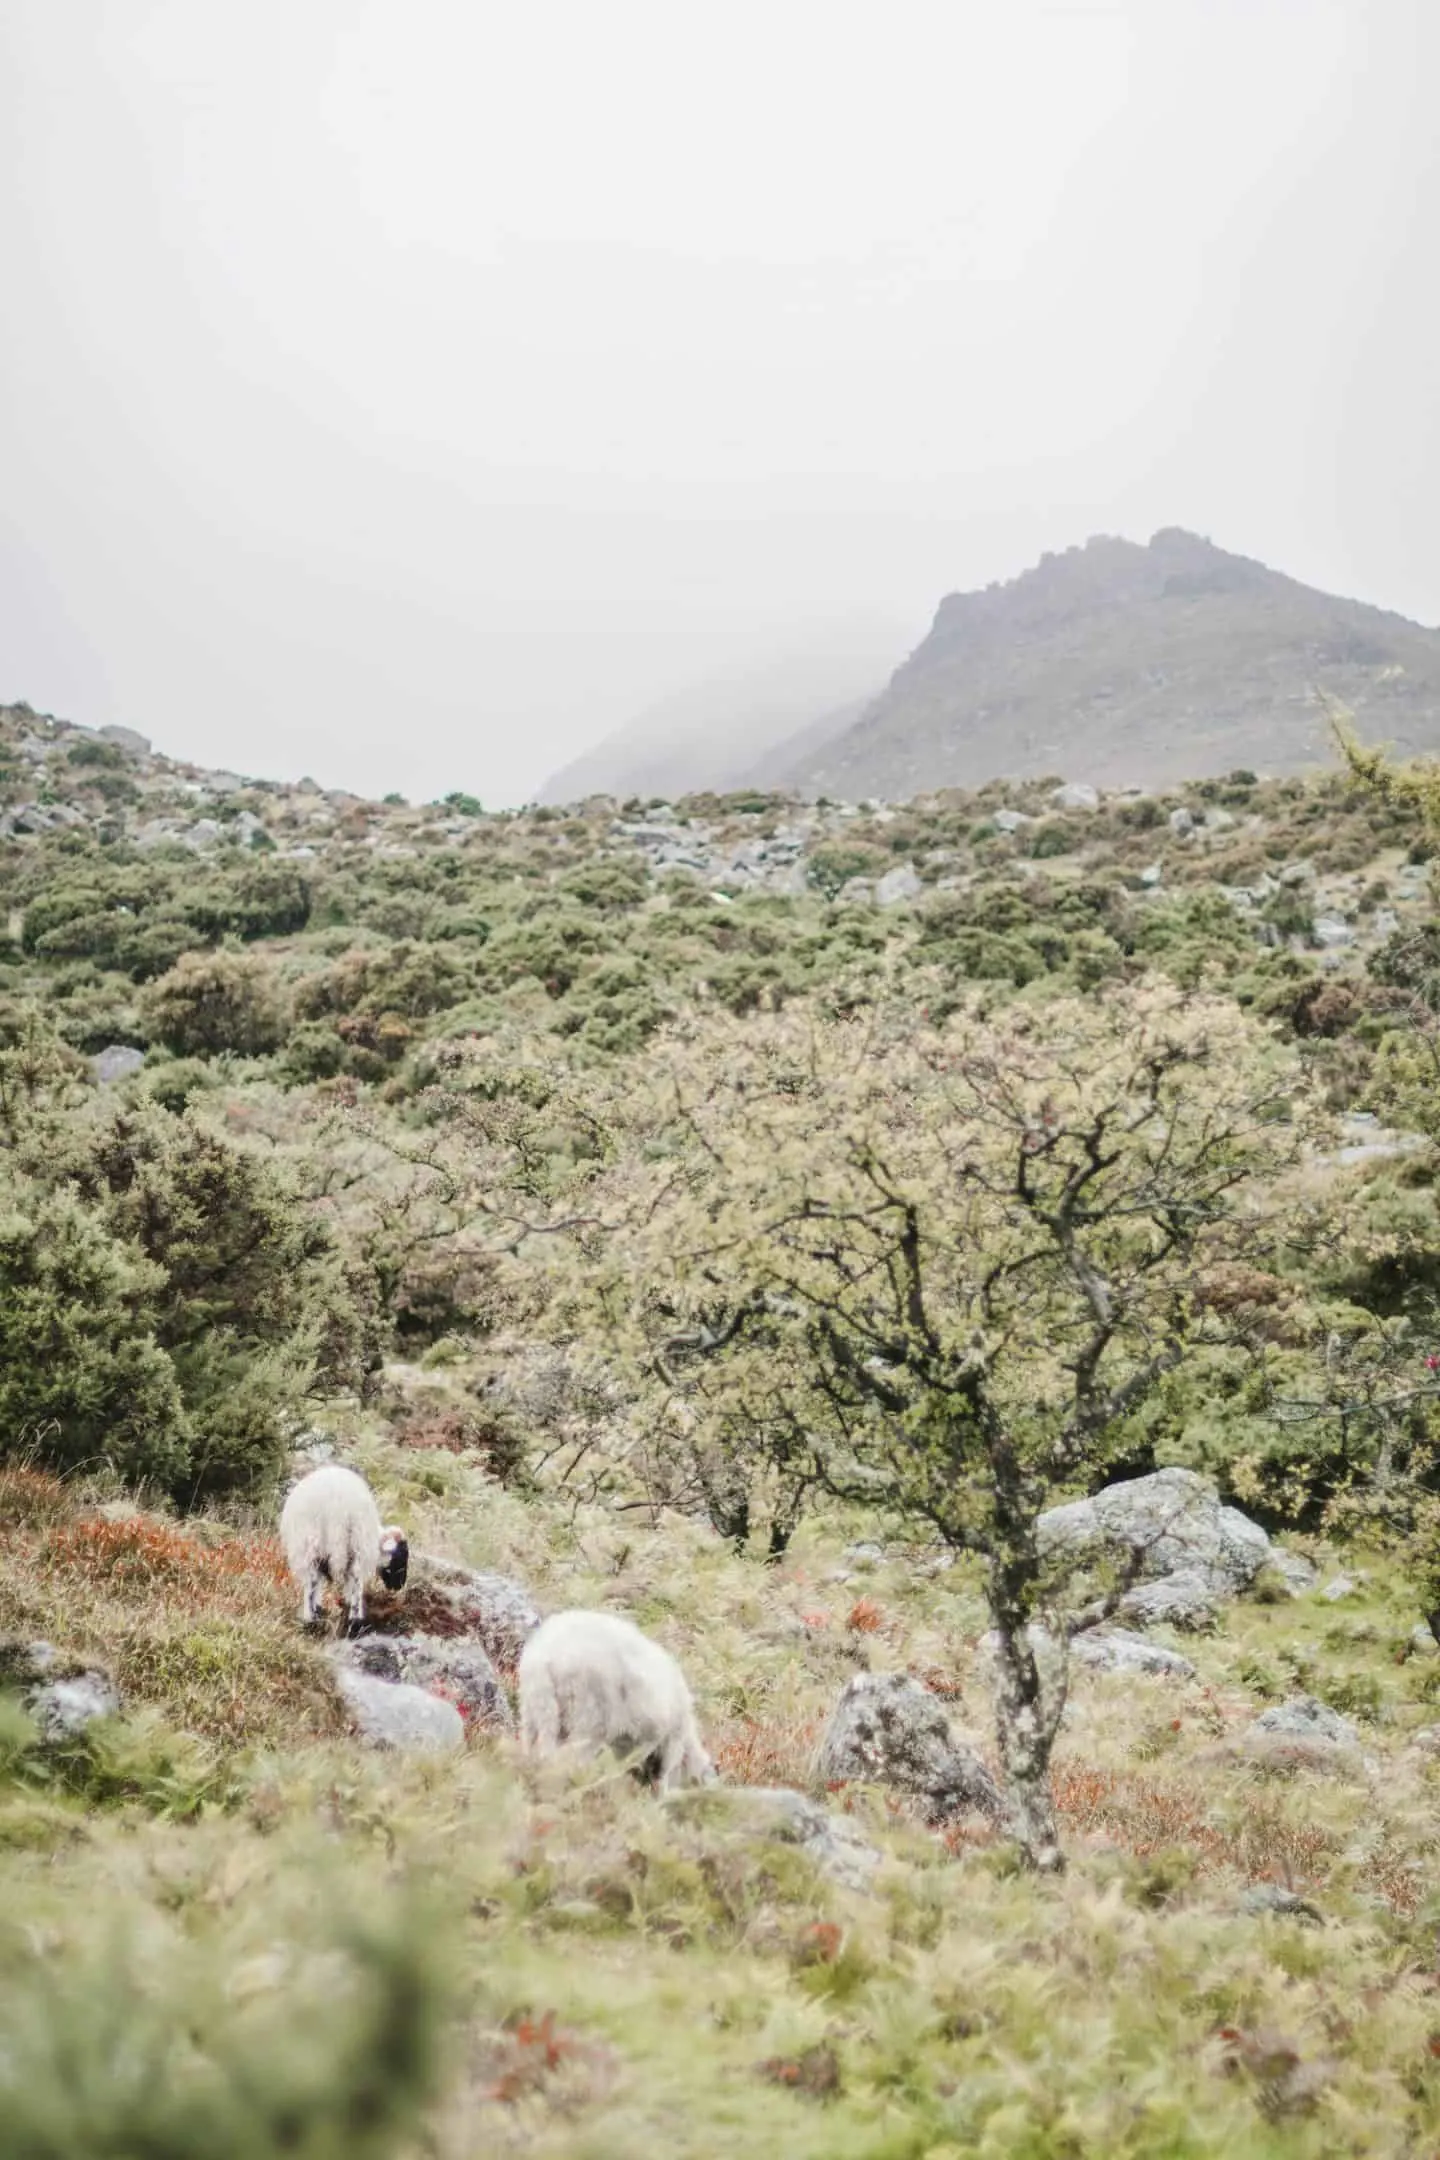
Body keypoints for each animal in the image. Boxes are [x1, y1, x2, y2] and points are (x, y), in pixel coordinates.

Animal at [278, 1460, 408, 1624]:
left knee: (312, 1580)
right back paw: (355, 1617)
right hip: (357, 1540)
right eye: (402, 1556)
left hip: (308, 1541)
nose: (399, 1586)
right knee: (355, 1578)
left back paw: (311, 1618)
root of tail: (335, 1507)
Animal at [520, 1615, 716, 1797]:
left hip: (537, 1703)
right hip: (589, 1714)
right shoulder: (655, 1741)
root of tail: (551, 1656)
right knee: (569, 1757)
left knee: (538, 1747)